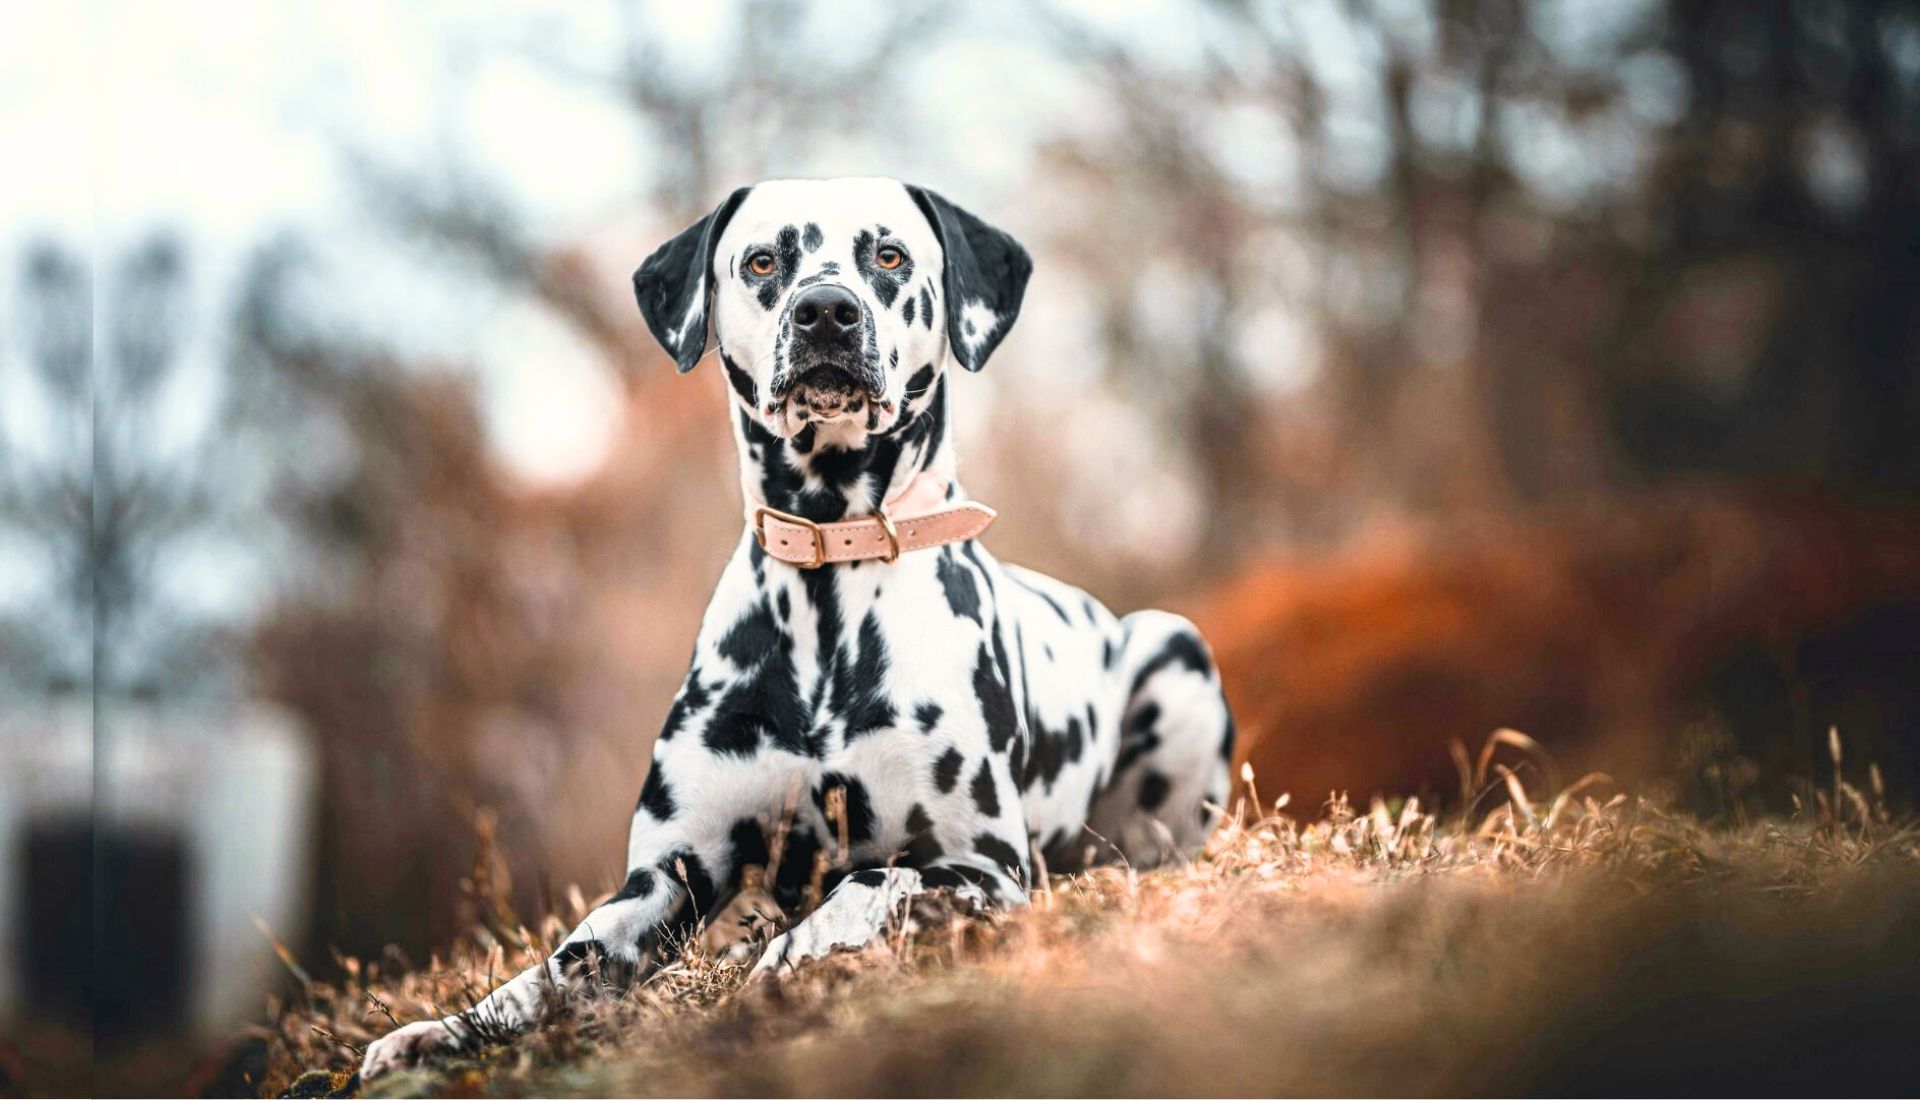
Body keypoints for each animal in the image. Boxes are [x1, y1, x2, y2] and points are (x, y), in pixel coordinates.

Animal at [359, 175, 1228, 1075]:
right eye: (762, 261)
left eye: (890, 255)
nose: (825, 311)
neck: (829, 582)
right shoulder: (667, 875)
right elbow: (560, 968)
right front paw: (443, 1031)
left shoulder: (984, 866)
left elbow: (868, 881)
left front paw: (792, 954)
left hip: (1174, 650)